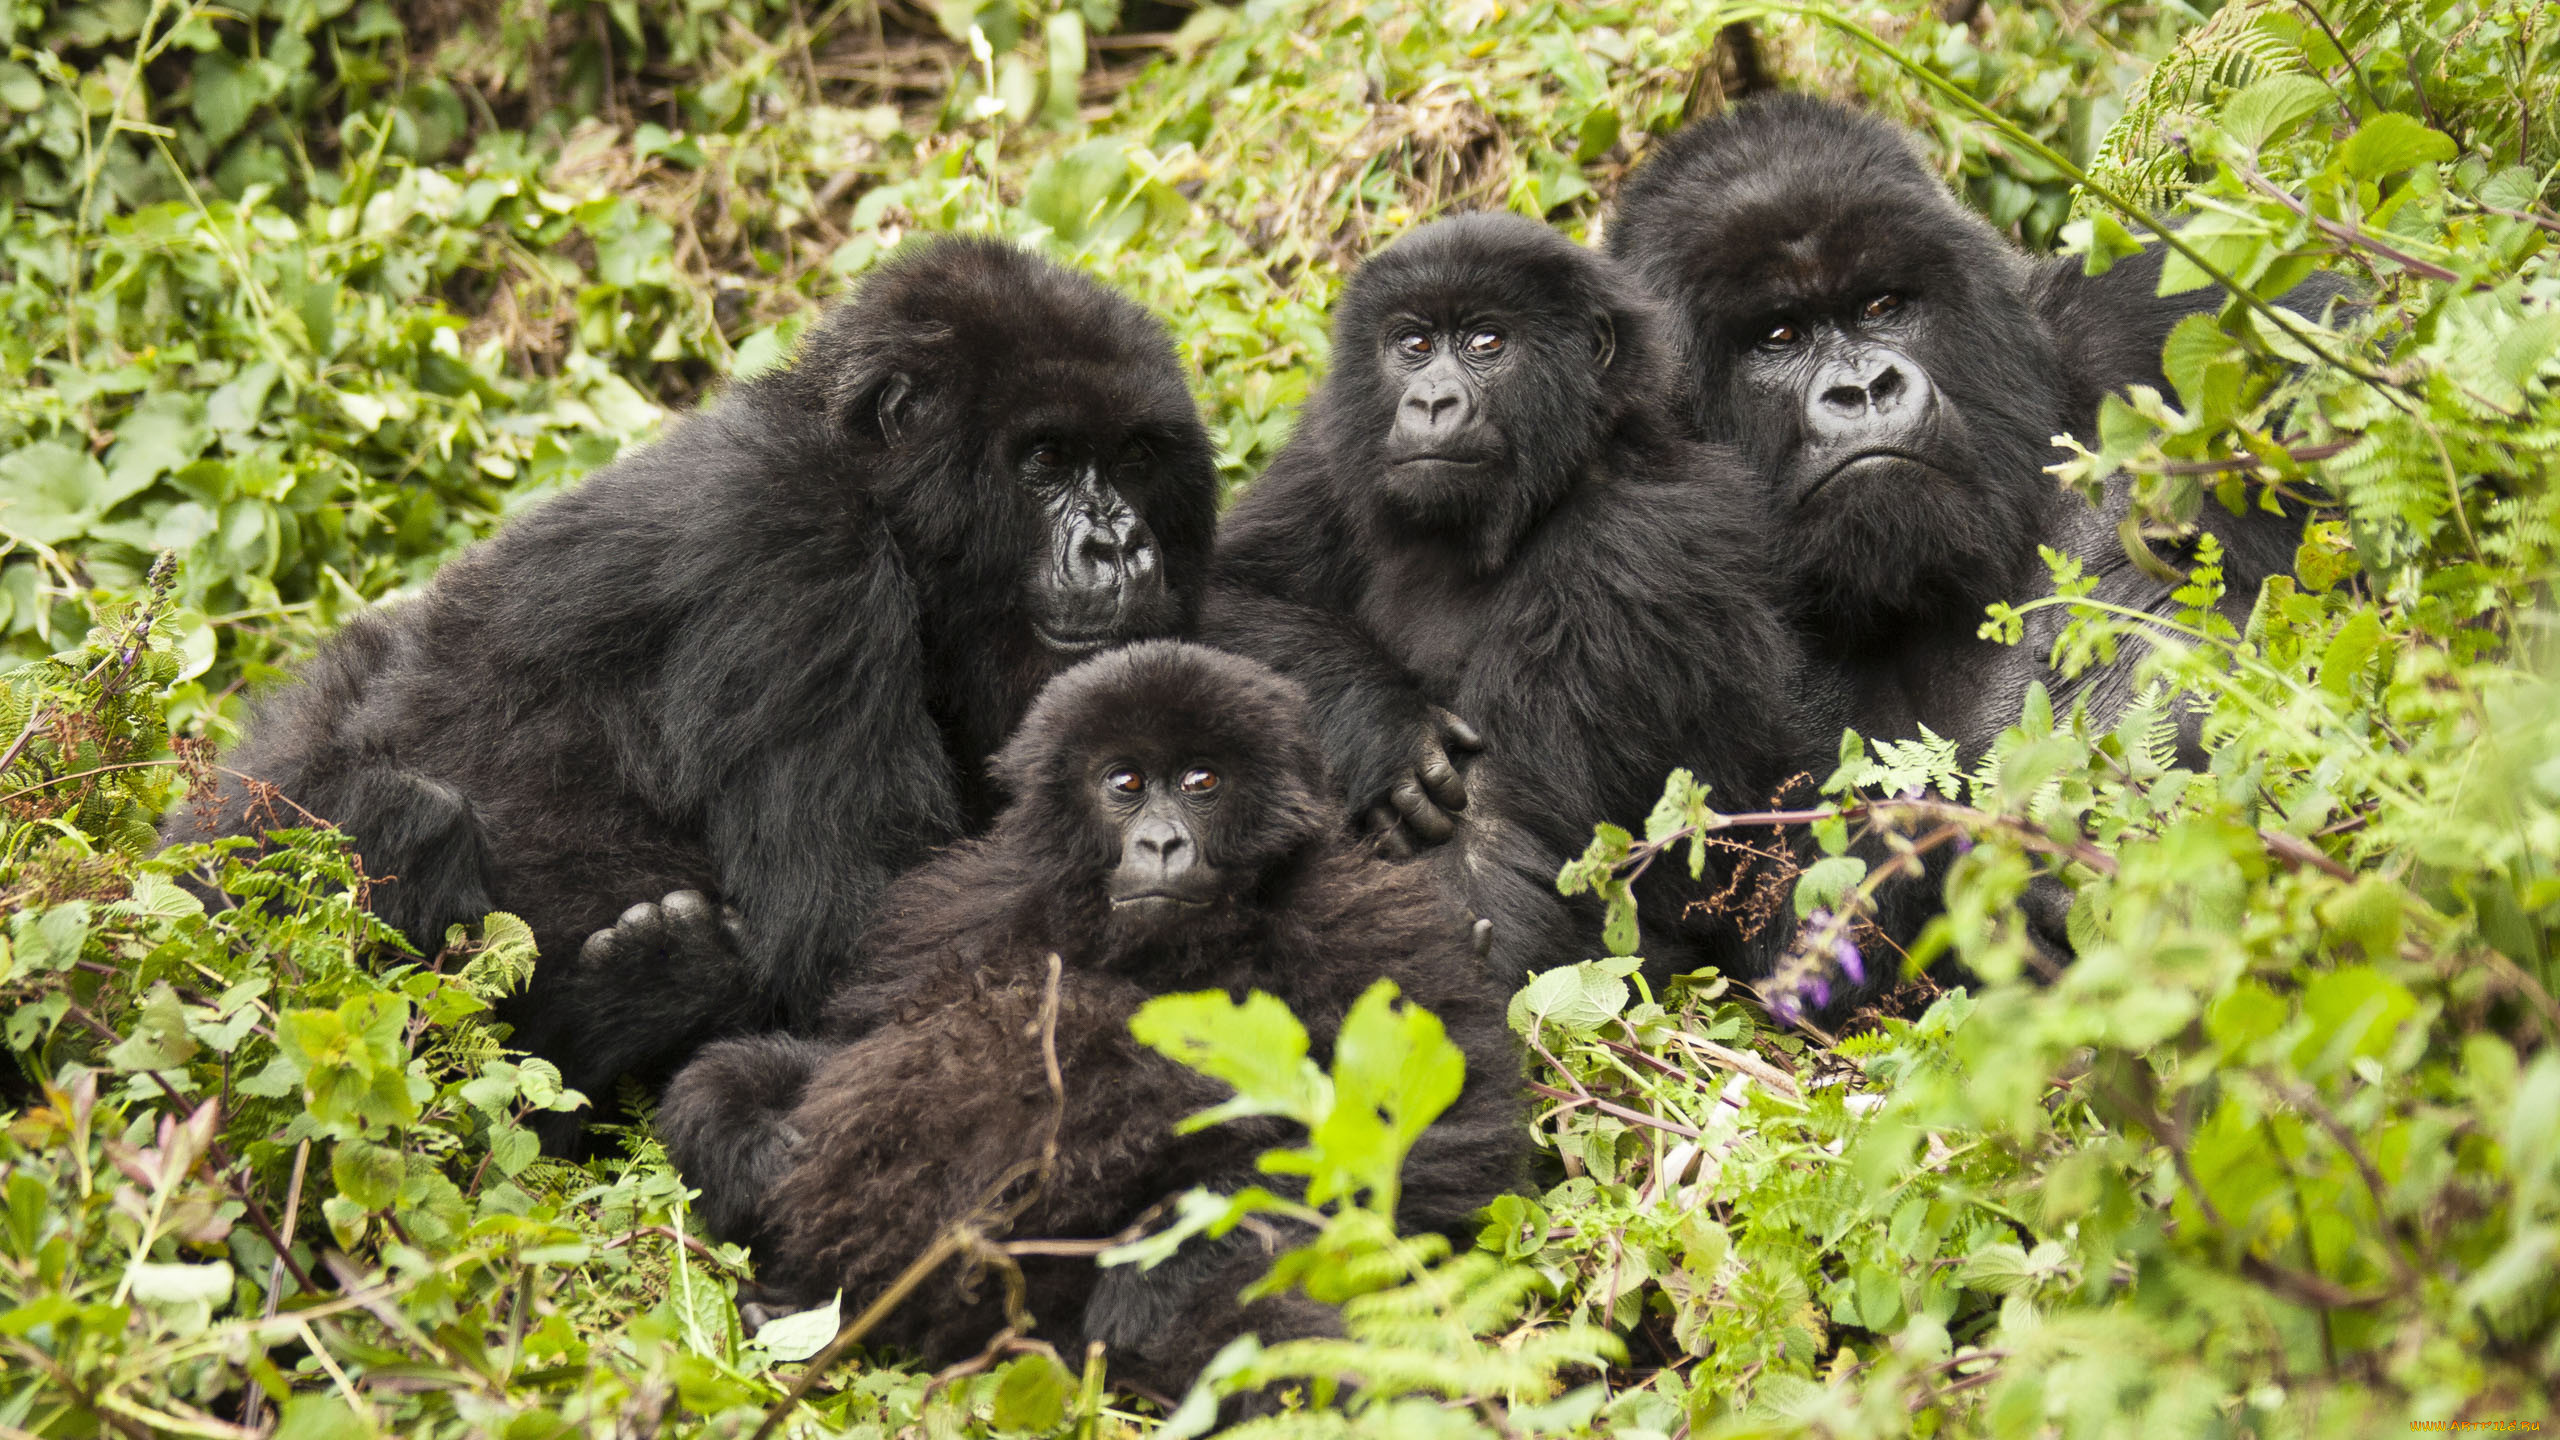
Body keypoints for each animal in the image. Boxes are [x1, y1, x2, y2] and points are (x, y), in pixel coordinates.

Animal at [170, 235, 1218, 1132]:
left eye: (1133, 458)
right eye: (1045, 459)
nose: (1119, 545)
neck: (868, 486)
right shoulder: (793, 555)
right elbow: (851, 931)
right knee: (405, 815)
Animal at [665, 638, 1536, 1393]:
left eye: (1200, 781)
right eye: (1124, 783)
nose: (1159, 844)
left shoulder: (1362, 922)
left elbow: (1440, 1130)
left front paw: (1164, 1271)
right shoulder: (959, 911)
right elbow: (845, 1050)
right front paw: (748, 1136)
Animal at [1203, 207, 1822, 978]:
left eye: (1486, 343)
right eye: (1413, 345)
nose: (1430, 400)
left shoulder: (1636, 541)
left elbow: (1495, 839)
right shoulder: (1328, 452)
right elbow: (1218, 598)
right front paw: (1380, 722)